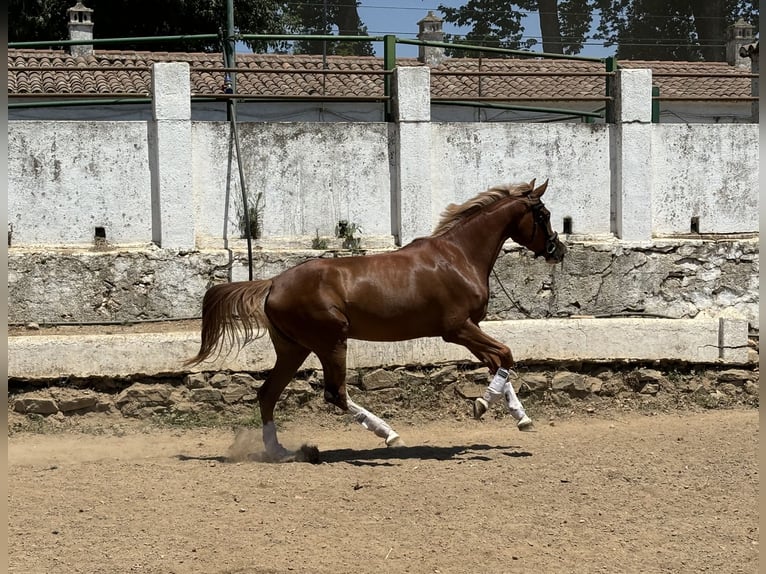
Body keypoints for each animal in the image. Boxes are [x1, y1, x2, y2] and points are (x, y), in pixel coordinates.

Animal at [189, 180, 568, 464]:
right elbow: (504, 355)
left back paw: (280, 451)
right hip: (331, 342)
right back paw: (389, 435)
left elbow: (498, 361)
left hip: (294, 349)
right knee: (335, 394)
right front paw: (481, 405)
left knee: (268, 394)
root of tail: (272, 284)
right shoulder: (457, 329)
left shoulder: (468, 331)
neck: (459, 256)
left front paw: (521, 417)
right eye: (545, 214)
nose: (559, 251)